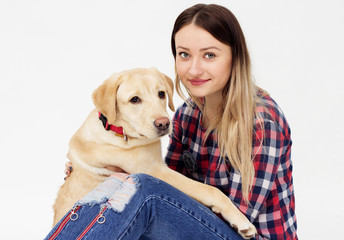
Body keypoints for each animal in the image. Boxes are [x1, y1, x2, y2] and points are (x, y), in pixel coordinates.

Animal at [53, 67, 255, 238]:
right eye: (134, 99)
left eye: (161, 94)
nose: (163, 123)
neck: (118, 130)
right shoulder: (156, 171)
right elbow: (211, 190)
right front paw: (242, 222)